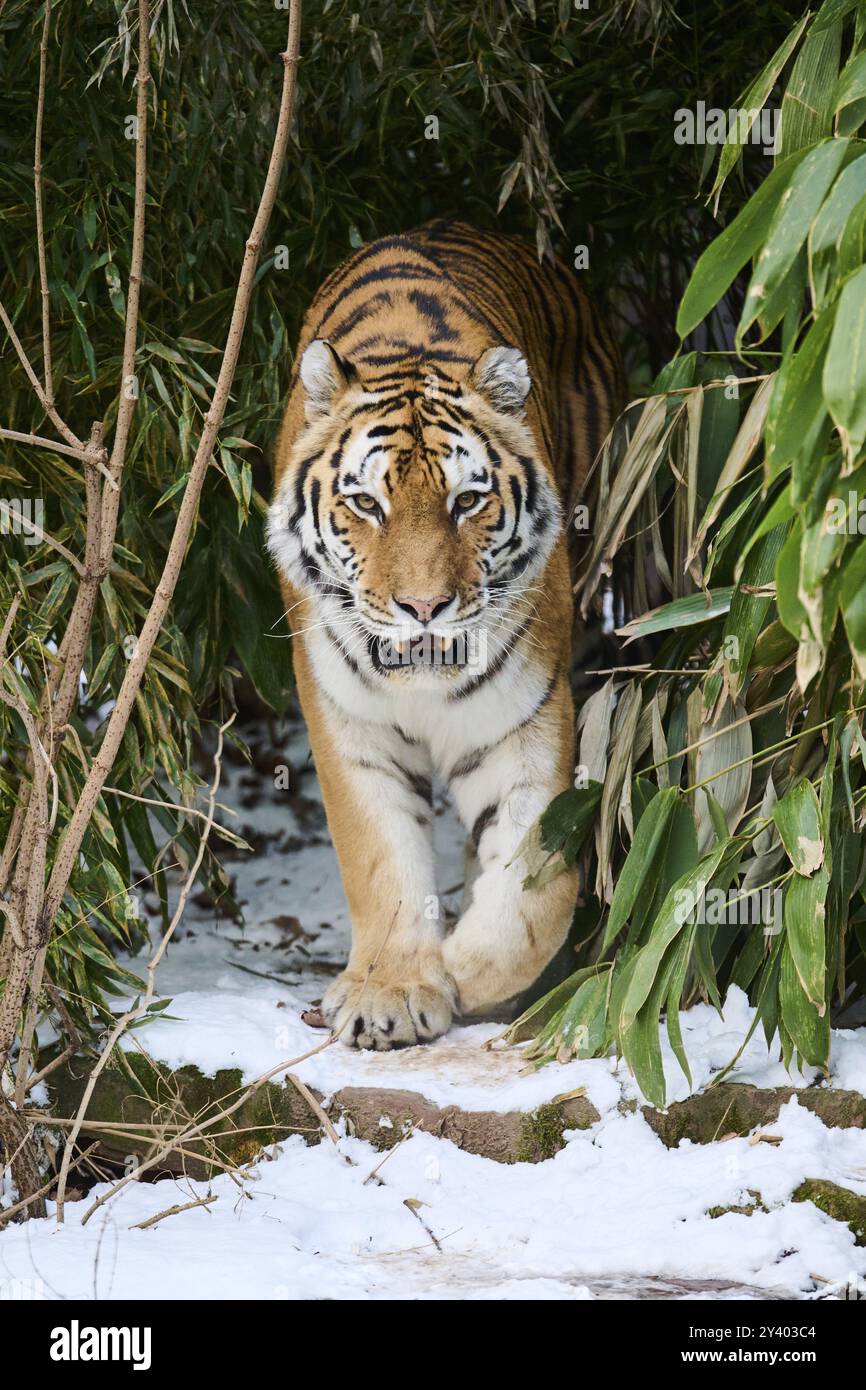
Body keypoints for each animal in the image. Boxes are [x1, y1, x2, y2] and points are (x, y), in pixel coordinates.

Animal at [265, 216, 622, 1045]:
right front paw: (391, 991)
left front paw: (464, 971)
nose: (424, 608)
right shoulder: (346, 722)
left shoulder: (524, 720)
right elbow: (379, 859)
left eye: (467, 501)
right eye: (366, 504)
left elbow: (534, 890)